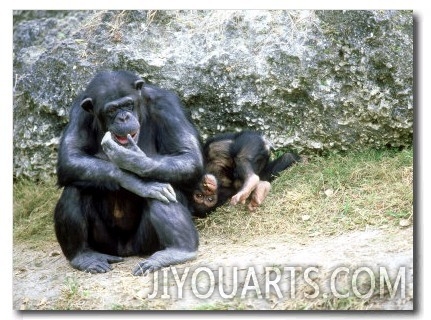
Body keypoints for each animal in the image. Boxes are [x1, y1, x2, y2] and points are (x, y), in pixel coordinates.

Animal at [54, 70, 204, 276]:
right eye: (111, 110)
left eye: (127, 104)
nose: (123, 118)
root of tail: (127, 250)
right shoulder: (79, 113)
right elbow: (70, 156)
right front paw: (136, 182)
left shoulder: (168, 105)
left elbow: (188, 156)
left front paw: (131, 159)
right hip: (106, 244)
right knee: (75, 188)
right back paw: (83, 256)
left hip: (144, 243)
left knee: (164, 188)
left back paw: (179, 250)